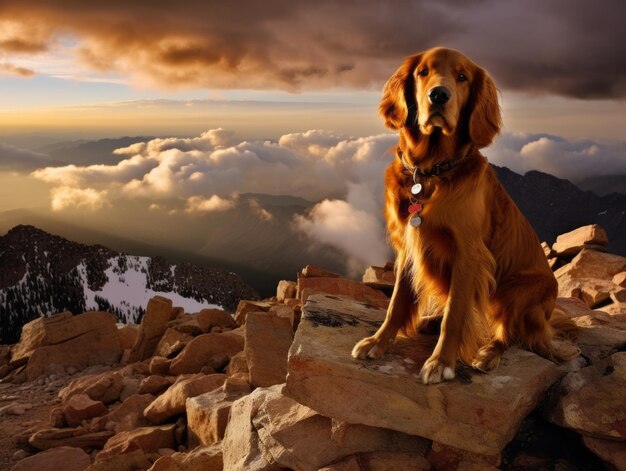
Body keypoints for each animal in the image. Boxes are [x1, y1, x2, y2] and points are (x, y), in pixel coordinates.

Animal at [352, 47, 576, 384]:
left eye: (462, 77)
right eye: (423, 72)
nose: (438, 95)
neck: (431, 171)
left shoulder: (468, 253)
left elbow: (456, 313)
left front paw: (441, 362)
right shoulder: (408, 245)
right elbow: (397, 302)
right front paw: (378, 342)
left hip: (518, 292)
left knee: (509, 334)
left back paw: (487, 353)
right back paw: (429, 320)